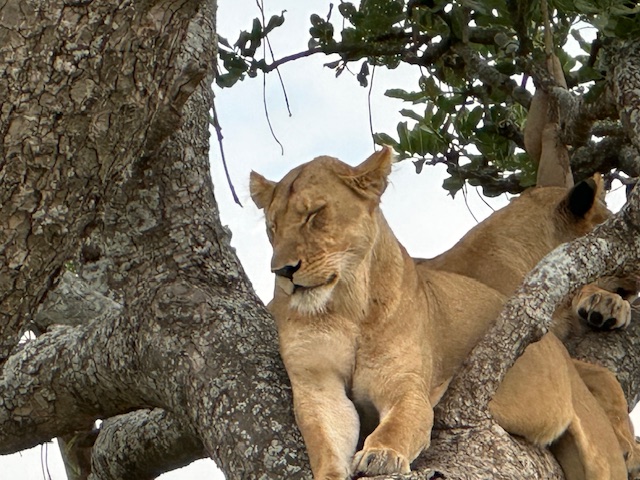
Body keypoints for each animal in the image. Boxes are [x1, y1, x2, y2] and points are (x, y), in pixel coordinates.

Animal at [250, 147, 637, 479]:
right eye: (272, 228)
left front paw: (608, 305)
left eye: (314, 215)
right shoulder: (318, 383)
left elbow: (604, 375)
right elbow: (603, 375)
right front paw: (630, 445)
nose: (282, 271)